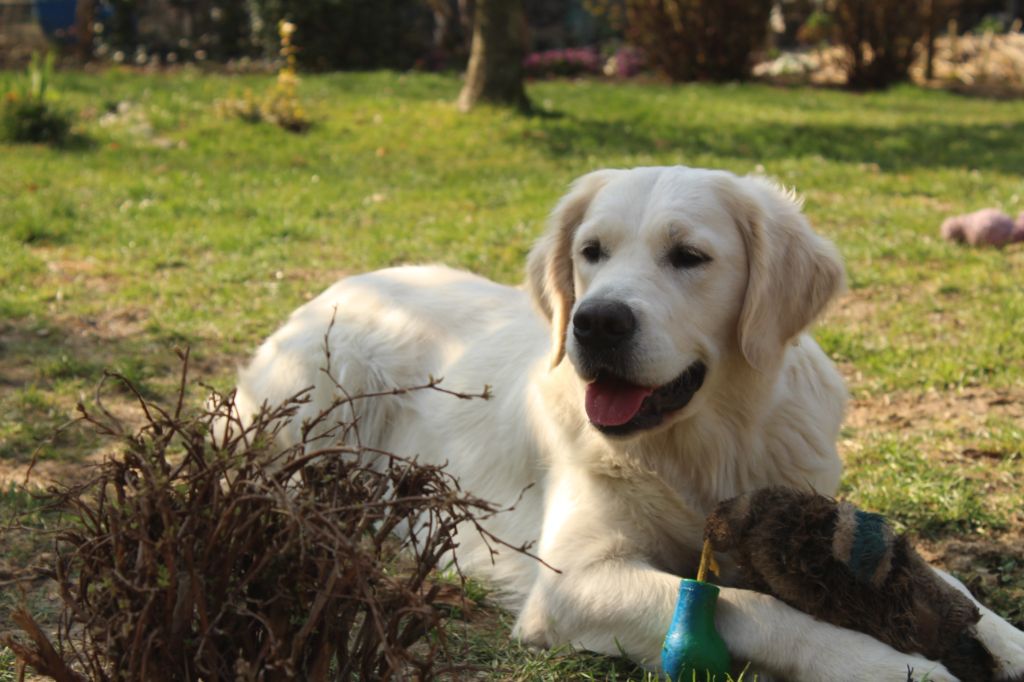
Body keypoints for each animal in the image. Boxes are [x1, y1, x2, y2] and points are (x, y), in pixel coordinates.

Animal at [232, 165, 1024, 679]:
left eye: (689, 256)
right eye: (592, 252)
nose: (596, 322)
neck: (708, 442)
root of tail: (334, 287)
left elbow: (958, 591)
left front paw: (1003, 639)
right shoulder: (573, 582)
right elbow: (755, 607)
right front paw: (895, 666)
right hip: (320, 402)